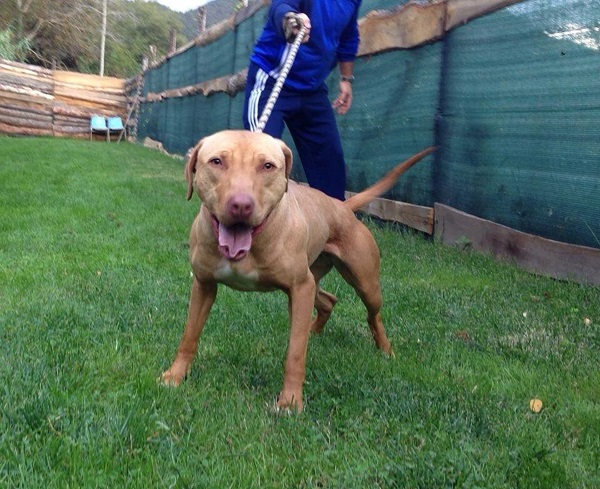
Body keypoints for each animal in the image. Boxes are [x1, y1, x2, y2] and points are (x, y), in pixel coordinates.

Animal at [161, 130, 435, 412]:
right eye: (216, 161)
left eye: (267, 166)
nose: (241, 205)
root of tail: (343, 207)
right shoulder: (204, 285)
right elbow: (189, 336)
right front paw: (175, 376)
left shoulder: (299, 288)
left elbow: (294, 353)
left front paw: (290, 401)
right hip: (313, 279)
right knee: (328, 301)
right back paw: (314, 331)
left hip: (364, 284)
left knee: (373, 316)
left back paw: (385, 349)